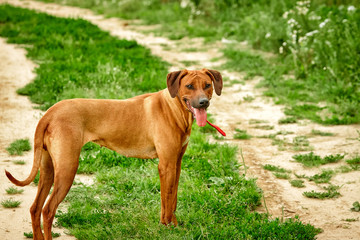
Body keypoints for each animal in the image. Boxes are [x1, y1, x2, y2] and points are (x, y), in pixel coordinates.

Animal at [4, 68, 222, 239]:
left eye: (207, 85)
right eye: (189, 86)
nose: (203, 103)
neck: (175, 108)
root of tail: (49, 113)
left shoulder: (176, 162)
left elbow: (172, 198)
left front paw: (172, 225)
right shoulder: (166, 164)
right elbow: (167, 199)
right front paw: (168, 228)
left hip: (48, 169)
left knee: (35, 208)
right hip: (67, 169)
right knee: (48, 211)